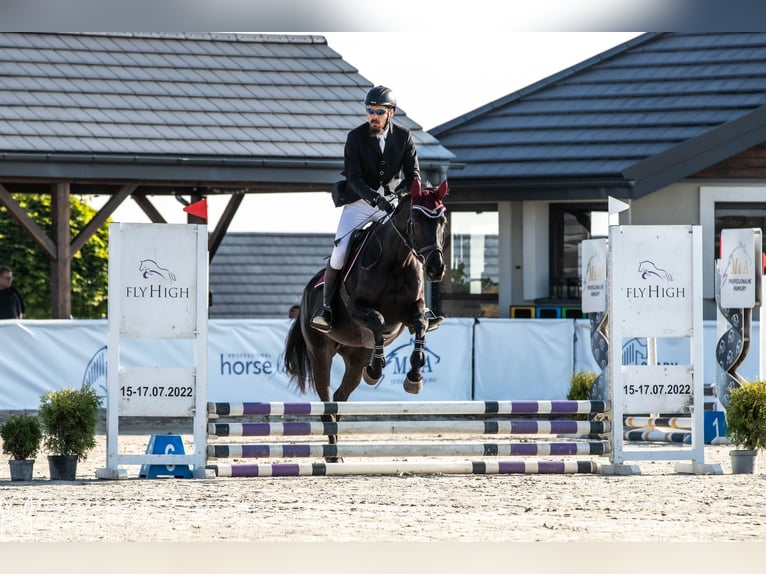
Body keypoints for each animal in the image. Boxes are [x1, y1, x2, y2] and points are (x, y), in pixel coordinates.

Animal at [284, 180, 450, 460]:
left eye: (442, 221)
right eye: (416, 221)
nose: (435, 269)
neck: (397, 261)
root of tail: (307, 292)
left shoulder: (414, 311)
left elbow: (420, 326)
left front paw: (414, 377)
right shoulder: (358, 308)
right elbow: (378, 320)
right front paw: (376, 369)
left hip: (355, 356)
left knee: (339, 397)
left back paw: (335, 447)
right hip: (320, 352)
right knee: (326, 398)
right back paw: (331, 451)